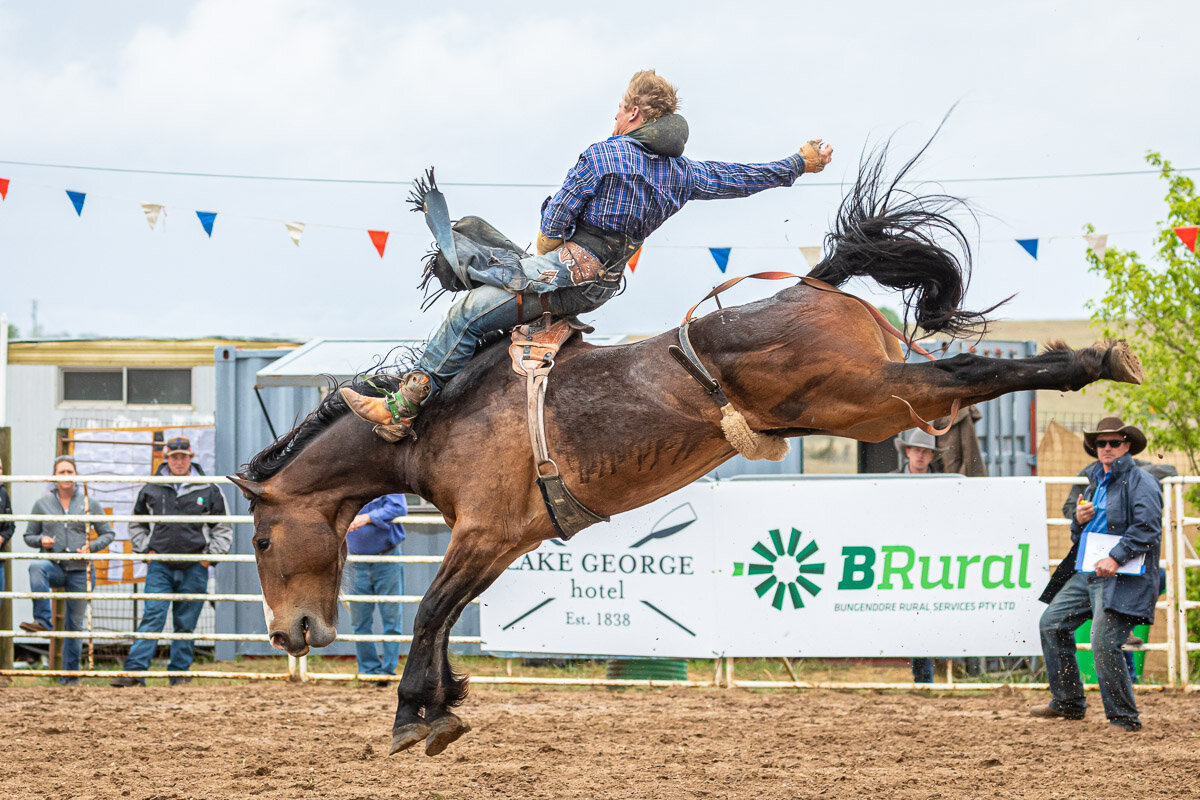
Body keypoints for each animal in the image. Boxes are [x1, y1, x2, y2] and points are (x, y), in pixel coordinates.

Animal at [226, 145, 1142, 758]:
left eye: (262, 540)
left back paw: (1097, 360)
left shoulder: (481, 531)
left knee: (964, 375)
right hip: (871, 399)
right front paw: (445, 703)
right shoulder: (505, 539)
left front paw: (412, 716)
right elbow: (447, 618)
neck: (438, 419)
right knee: (958, 381)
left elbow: (425, 613)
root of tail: (813, 286)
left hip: (874, 396)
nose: (288, 635)